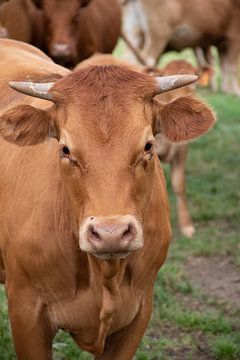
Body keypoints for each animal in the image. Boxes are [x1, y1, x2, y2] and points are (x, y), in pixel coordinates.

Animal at [0, 38, 216, 358]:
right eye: (65, 149)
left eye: (148, 146)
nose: (110, 233)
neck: (105, 276)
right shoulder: (26, 313)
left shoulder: (138, 313)